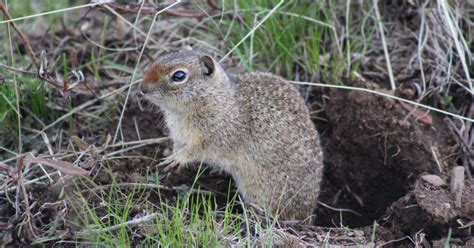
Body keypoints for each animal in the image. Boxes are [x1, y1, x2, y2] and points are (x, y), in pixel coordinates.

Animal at [140, 50, 326, 221]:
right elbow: (178, 147)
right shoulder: (179, 137)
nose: (143, 88)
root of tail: (307, 214)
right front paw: (171, 159)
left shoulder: (213, 138)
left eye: (179, 75)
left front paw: (176, 159)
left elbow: (194, 151)